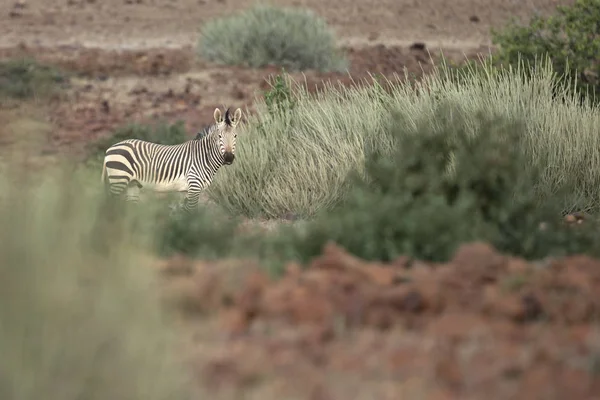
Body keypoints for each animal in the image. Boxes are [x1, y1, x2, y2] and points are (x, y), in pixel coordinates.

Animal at [101, 105, 244, 212]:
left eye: (235, 136)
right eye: (219, 136)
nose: (229, 157)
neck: (204, 157)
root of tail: (109, 149)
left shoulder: (186, 190)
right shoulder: (194, 186)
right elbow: (191, 212)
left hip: (132, 184)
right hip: (119, 180)